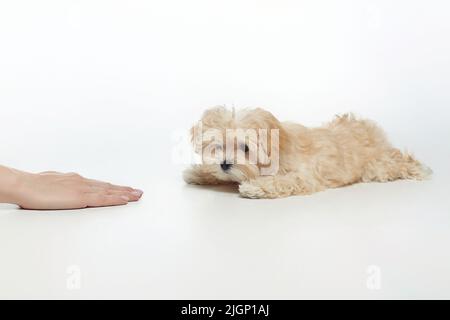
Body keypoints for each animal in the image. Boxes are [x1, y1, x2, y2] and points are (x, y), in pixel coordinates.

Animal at [182, 107, 428, 198]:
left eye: (245, 148)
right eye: (217, 146)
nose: (224, 164)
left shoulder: (302, 176)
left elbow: (280, 181)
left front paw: (254, 187)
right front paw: (198, 172)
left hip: (377, 166)